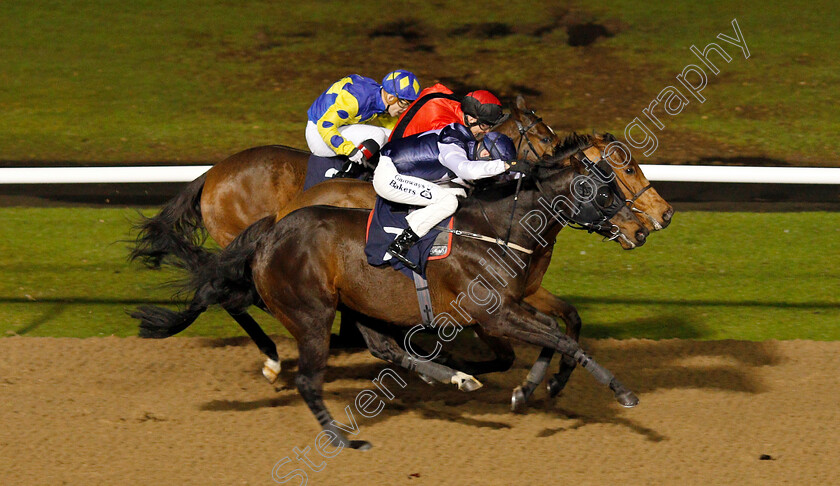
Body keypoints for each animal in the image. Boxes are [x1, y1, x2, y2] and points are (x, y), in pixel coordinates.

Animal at [166, 140, 644, 448]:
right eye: (605, 190)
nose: (641, 229)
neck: (494, 230)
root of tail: (269, 232)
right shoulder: (494, 314)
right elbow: (558, 336)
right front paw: (622, 392)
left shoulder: (510, 306)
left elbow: (556, 330)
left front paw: (528, 390)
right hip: (312, 314)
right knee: (304, 371)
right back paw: (339, 435)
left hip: (358, 305)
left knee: (384, 348)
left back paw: (453, 376)